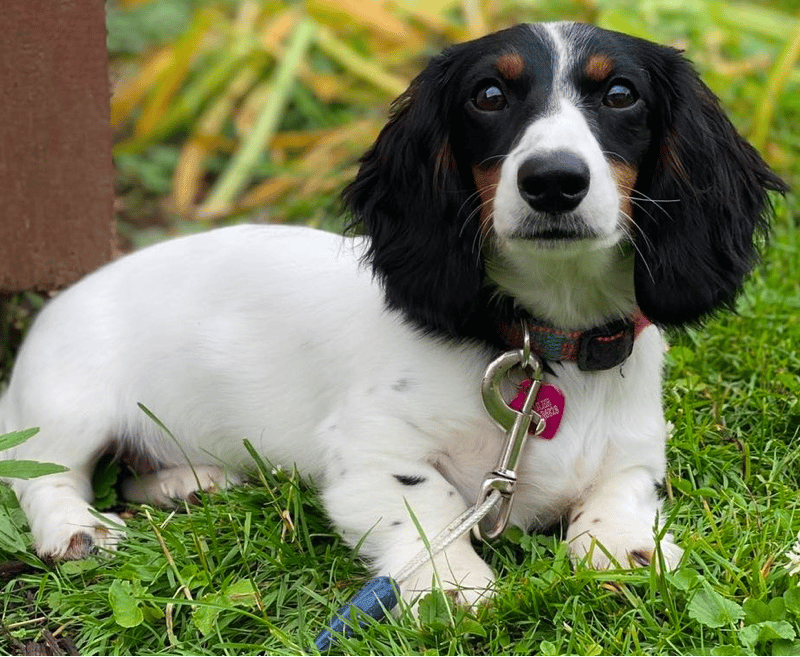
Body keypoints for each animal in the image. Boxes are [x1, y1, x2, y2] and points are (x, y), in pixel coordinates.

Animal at [0, 20, 788, 604]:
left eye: (621, 93)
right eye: (489, 94)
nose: (554, 181)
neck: (542, 340)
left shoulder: (635, 450)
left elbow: (620, 493)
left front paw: (621, 546)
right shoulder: (369, 453)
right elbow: (430, 506)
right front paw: (451, 581)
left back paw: (185, 482)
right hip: (70, 403)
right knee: (43, 475)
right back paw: (76, 529)